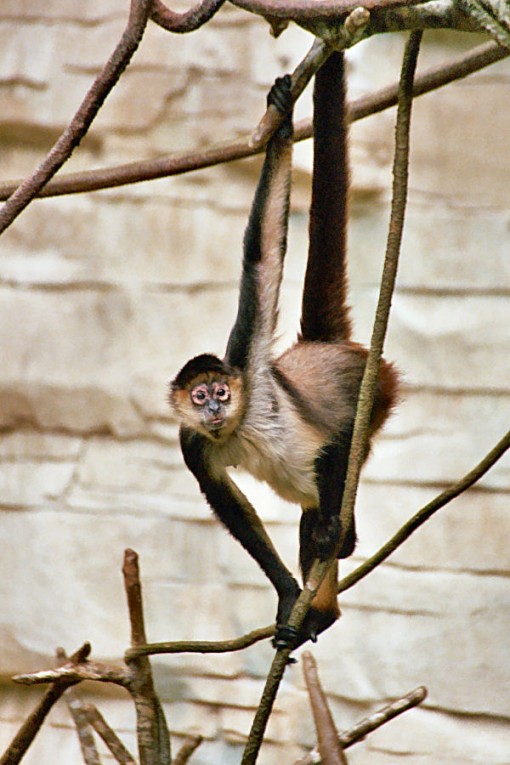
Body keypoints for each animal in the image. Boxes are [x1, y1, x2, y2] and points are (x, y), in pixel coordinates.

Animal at [170, 52, 398, 652]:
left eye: (221, 391)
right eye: (198, 397)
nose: (214, 406)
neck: (238, 421)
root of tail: (321, 348)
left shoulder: (246, 359)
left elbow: (262, 255)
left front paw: (283, 117)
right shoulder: (192, 440)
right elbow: (224, 498)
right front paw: (287, 594)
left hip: (376, 393)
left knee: (333, 474)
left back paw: (335, 540)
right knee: (308, 516)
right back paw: (319, 612)